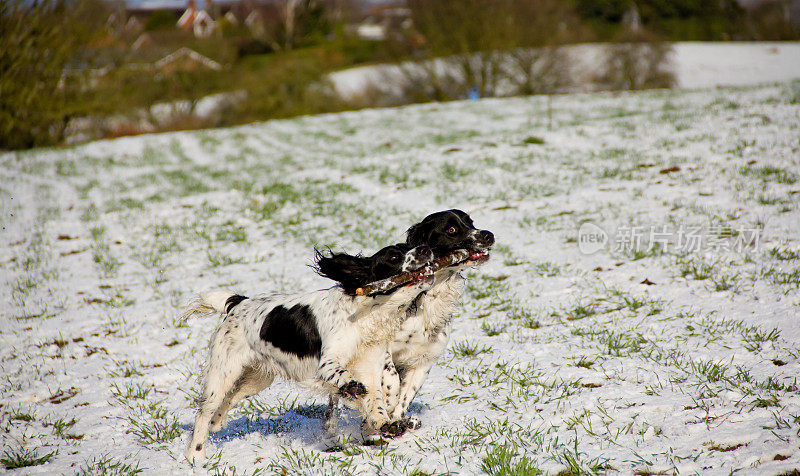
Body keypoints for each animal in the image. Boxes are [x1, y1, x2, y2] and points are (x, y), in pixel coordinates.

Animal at [184, 244, 434, 460]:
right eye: (394, 257)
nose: (426, 248)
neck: (366, 311)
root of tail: (238, 303)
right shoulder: (329, 362)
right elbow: (347, 380)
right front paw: (352, 387)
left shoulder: (370, 366)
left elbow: (377, 401)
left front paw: (386, 424)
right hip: (223, 371)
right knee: (204, 411)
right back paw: (196, 455)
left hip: (257, 378)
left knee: (230, 397)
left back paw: (217, 422)